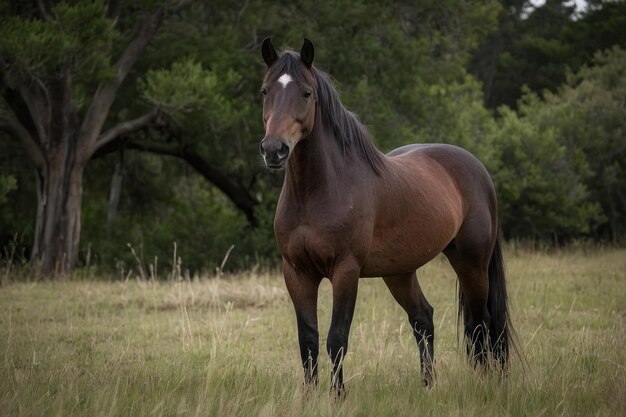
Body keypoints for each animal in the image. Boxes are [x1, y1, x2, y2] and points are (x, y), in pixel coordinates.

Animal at [258, 36, 512, 394]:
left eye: (306, 93)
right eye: (265, 91)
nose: (274, 150)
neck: (318, 192)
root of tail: (476, 168)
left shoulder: (345, 270)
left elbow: (337, 339)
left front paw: (337, 397)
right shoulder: (296, 272)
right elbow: (307, 340)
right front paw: (309, 396)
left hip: (471, 263)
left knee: (482, 324)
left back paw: (488, 382)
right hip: (400, 272)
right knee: (424, 318)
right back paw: (427, 386)